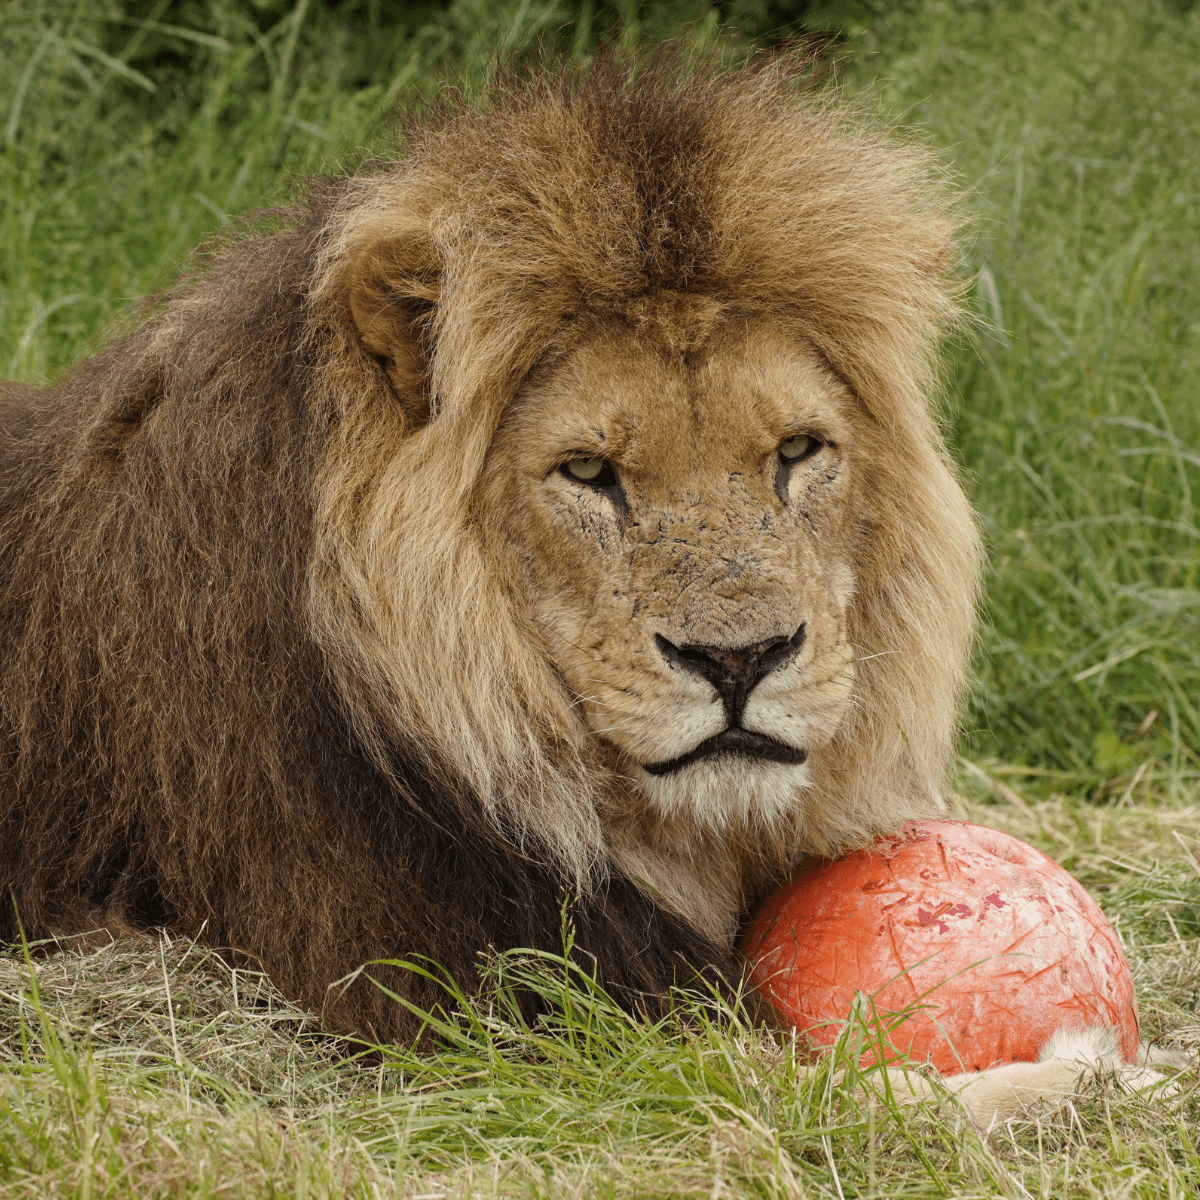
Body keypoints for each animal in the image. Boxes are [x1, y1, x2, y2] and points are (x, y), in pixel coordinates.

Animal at [0, 59, 1173, 1125]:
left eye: (798, 452)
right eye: (587, 471)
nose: (739, 661)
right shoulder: (451, 985)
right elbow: (832, 1090)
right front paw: (1087, 1070)